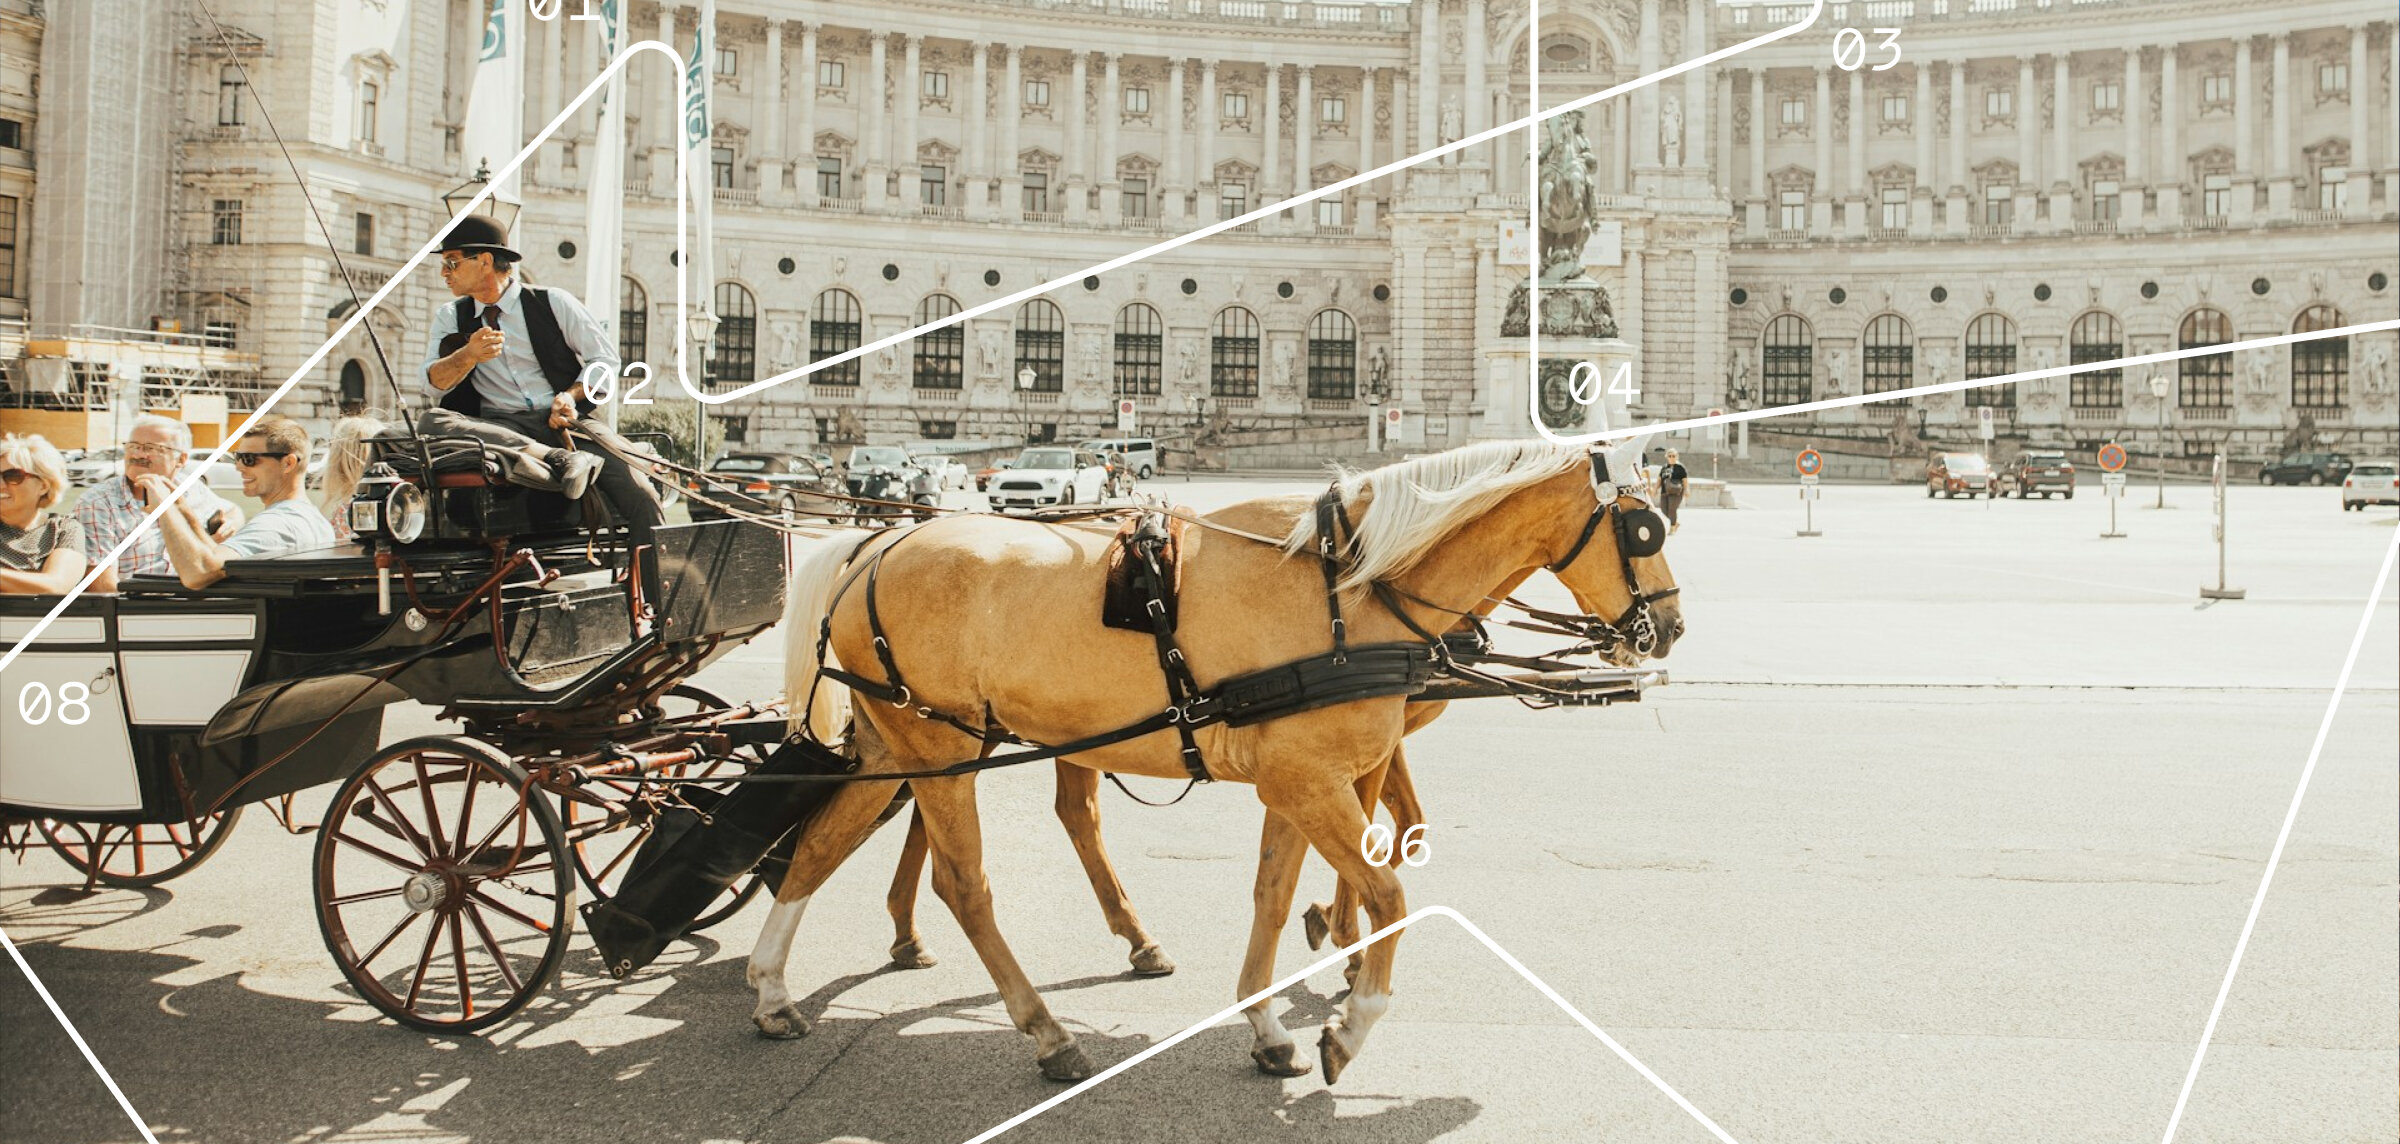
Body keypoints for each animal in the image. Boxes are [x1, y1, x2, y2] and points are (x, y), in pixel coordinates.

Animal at [758, 436, 1680, 1079]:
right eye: (1644, 528)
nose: (1668, 627)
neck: (1348, 592)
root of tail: (873, 545)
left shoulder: (1298, 782)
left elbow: (1274, 895)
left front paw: (1272, 1021)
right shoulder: (1312, 778)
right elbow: (1388, 885)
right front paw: (1353, 1018)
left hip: (905, 741)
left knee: (825, 839)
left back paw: (772, 989)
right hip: (942, 741)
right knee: (966, 883)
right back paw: (1046, 1033)